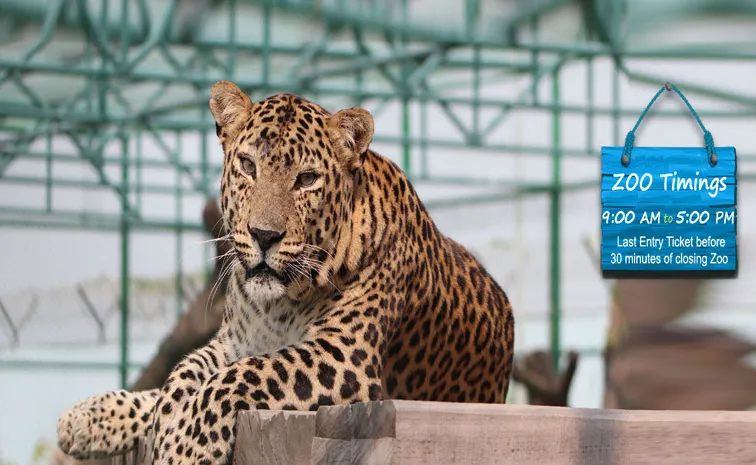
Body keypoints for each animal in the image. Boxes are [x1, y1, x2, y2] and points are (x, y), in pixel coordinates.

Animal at [56, 80, 516, 464]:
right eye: (247, 165)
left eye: (307, 179)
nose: (264, 235)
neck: (279, 305)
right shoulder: (232, 342)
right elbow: (184, 373)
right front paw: (164, 416)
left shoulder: (344, 355)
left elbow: (242, 375)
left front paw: (184, 448)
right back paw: (85, 416)